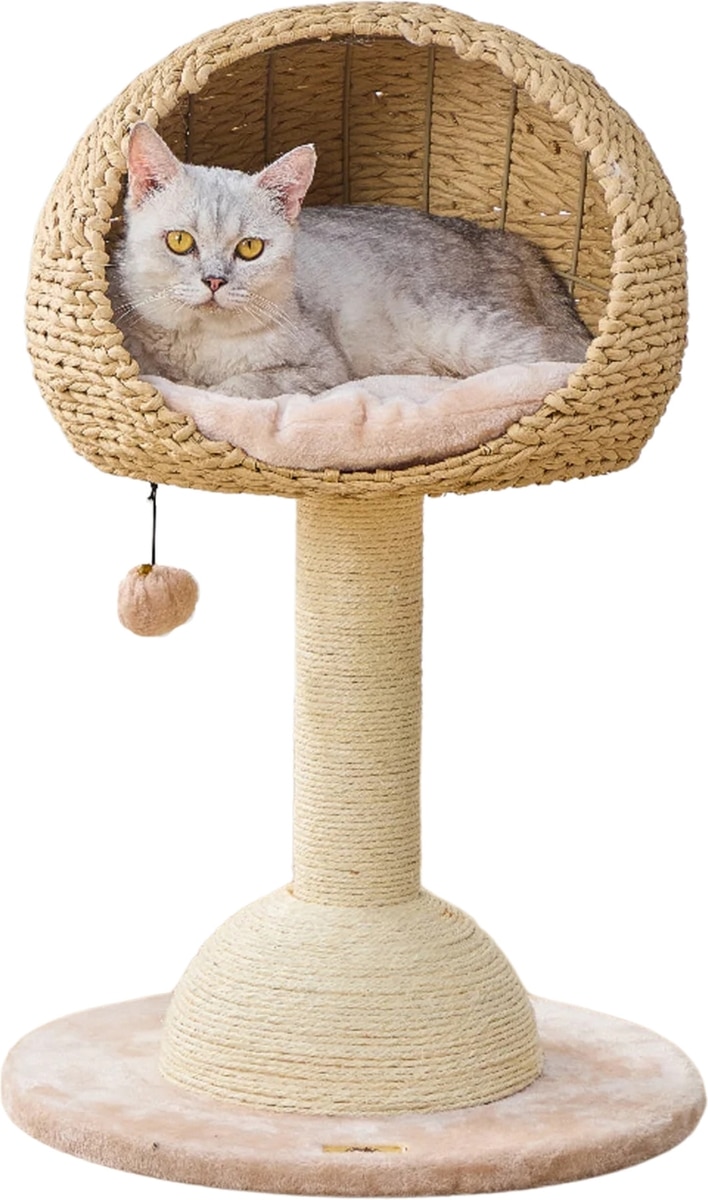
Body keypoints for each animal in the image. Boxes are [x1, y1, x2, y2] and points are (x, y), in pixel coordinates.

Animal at [111, 122, 591, 399]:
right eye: (179, 241)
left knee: (562, 357)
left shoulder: (322, 367)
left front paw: (214, 388)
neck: (201, 343)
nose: (214, 280)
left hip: (469, 333)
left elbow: (239, 386)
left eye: (249, 248)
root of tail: (508, 241)